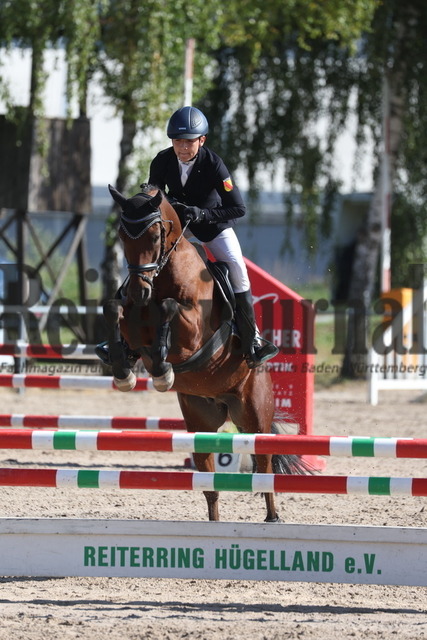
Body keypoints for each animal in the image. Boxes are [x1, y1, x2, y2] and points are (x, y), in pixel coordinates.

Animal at [103, 182, 310, 524]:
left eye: (155, 235)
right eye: (122, 235)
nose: (139, 291)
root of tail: (223, 401)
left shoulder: (193, 333)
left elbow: (169, 309)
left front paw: (162, 369)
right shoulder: (132, 320)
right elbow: (115, 311)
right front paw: (125, 371)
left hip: (255, 417)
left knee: (264, 467)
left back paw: (272, 518)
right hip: (200, 423)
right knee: (210, 483)